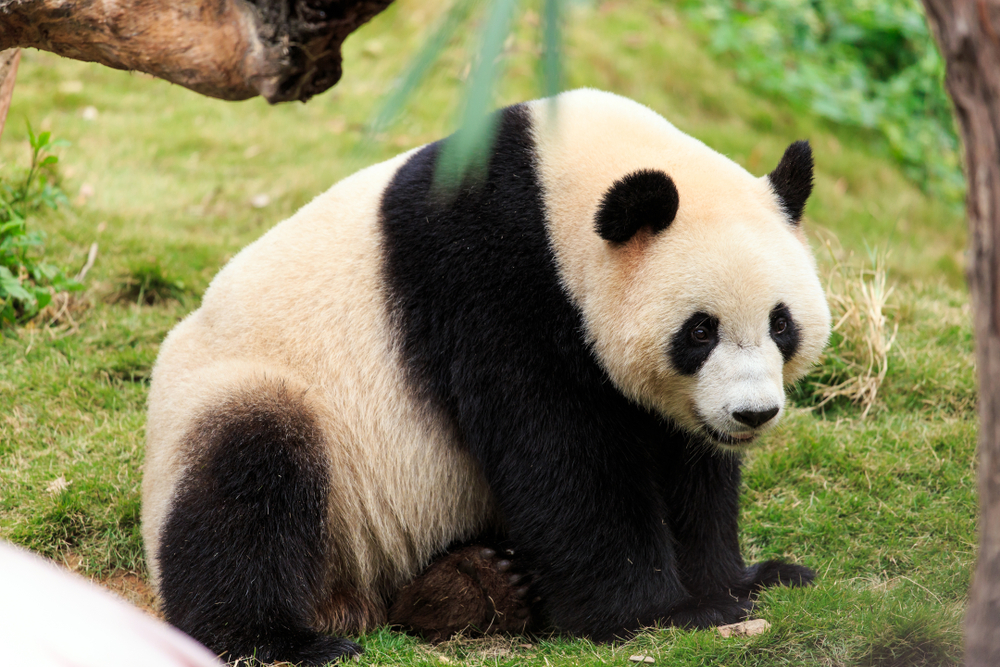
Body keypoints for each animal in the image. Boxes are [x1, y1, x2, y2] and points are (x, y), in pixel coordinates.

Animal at [142, 88, 831, 665]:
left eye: (781, 323)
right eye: (700, 331)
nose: (751, 414)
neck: (555, 188)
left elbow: (688, 466)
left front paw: (752, 580)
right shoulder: (490, 285)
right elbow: (559, 452)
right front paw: (666, 612)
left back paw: (481, 583)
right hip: (274, 418)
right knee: (250, 480)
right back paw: (283, 639)